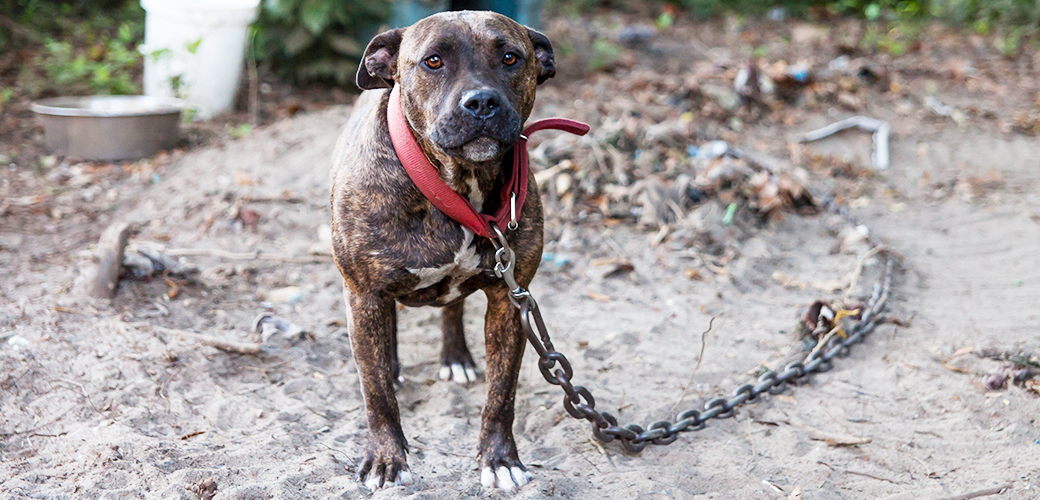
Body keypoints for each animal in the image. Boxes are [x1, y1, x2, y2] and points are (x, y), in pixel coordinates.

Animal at [330, 9, 557, 488]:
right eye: (433, 61)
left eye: (511, 57)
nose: (481, 102)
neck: (455, 186)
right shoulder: (363, 294)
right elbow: (375, 391)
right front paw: (386, 458)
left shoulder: (510, 300)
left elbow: (502, 393)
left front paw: (500, 459)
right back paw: (395, 364)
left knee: (452, 308)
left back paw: (456, 357)